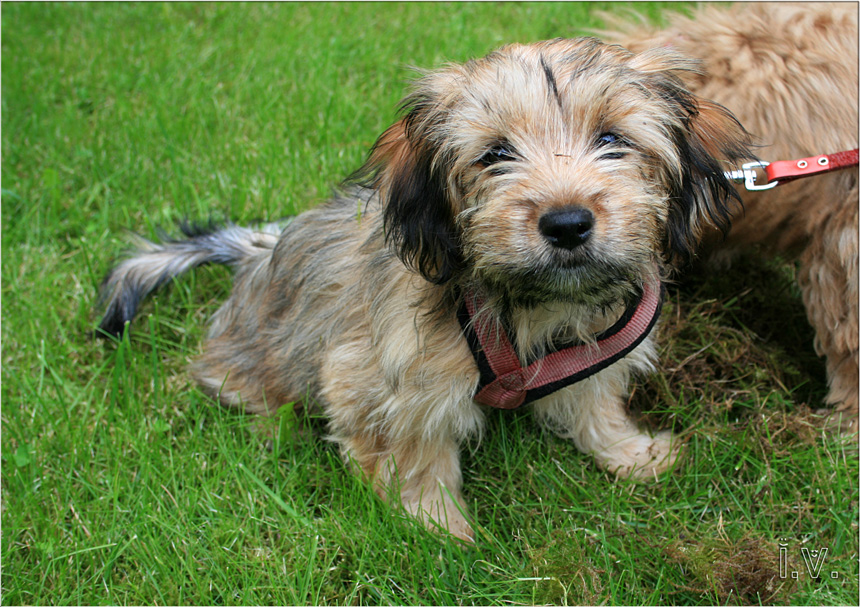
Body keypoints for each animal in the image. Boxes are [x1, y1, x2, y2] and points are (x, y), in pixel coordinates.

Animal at [97, 39, 748, 540]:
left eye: (613, 140)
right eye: (494, 155)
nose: (566, 223)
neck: (524, 305)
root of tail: (256, 250)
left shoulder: (590, 348)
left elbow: (595, 406)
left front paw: (632, 455)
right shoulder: (378, 379)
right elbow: (414, 456)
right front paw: (440, 531)